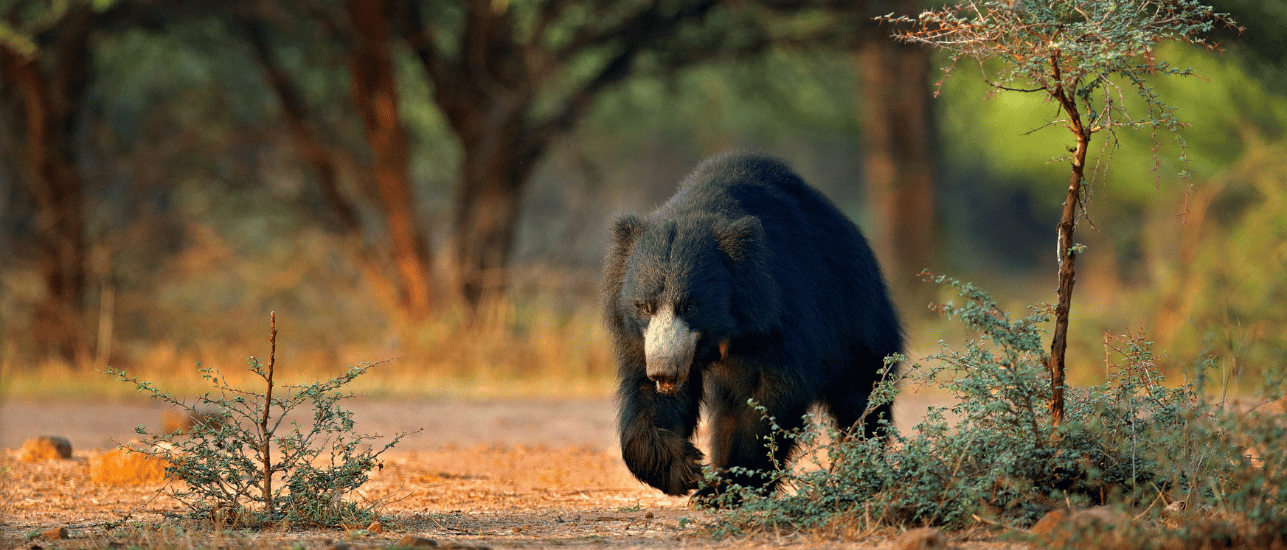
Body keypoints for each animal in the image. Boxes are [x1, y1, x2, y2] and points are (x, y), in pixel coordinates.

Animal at [604, 152, 900, 497]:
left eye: (690, 306)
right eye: (645, 307)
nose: (664, 371)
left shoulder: (779, 311)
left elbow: (770, 394)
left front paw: (730, 486)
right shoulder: (642, 337)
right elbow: (646, 394)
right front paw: (686, 469)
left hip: (856, 318)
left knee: (862, 393)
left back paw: (861, 470)